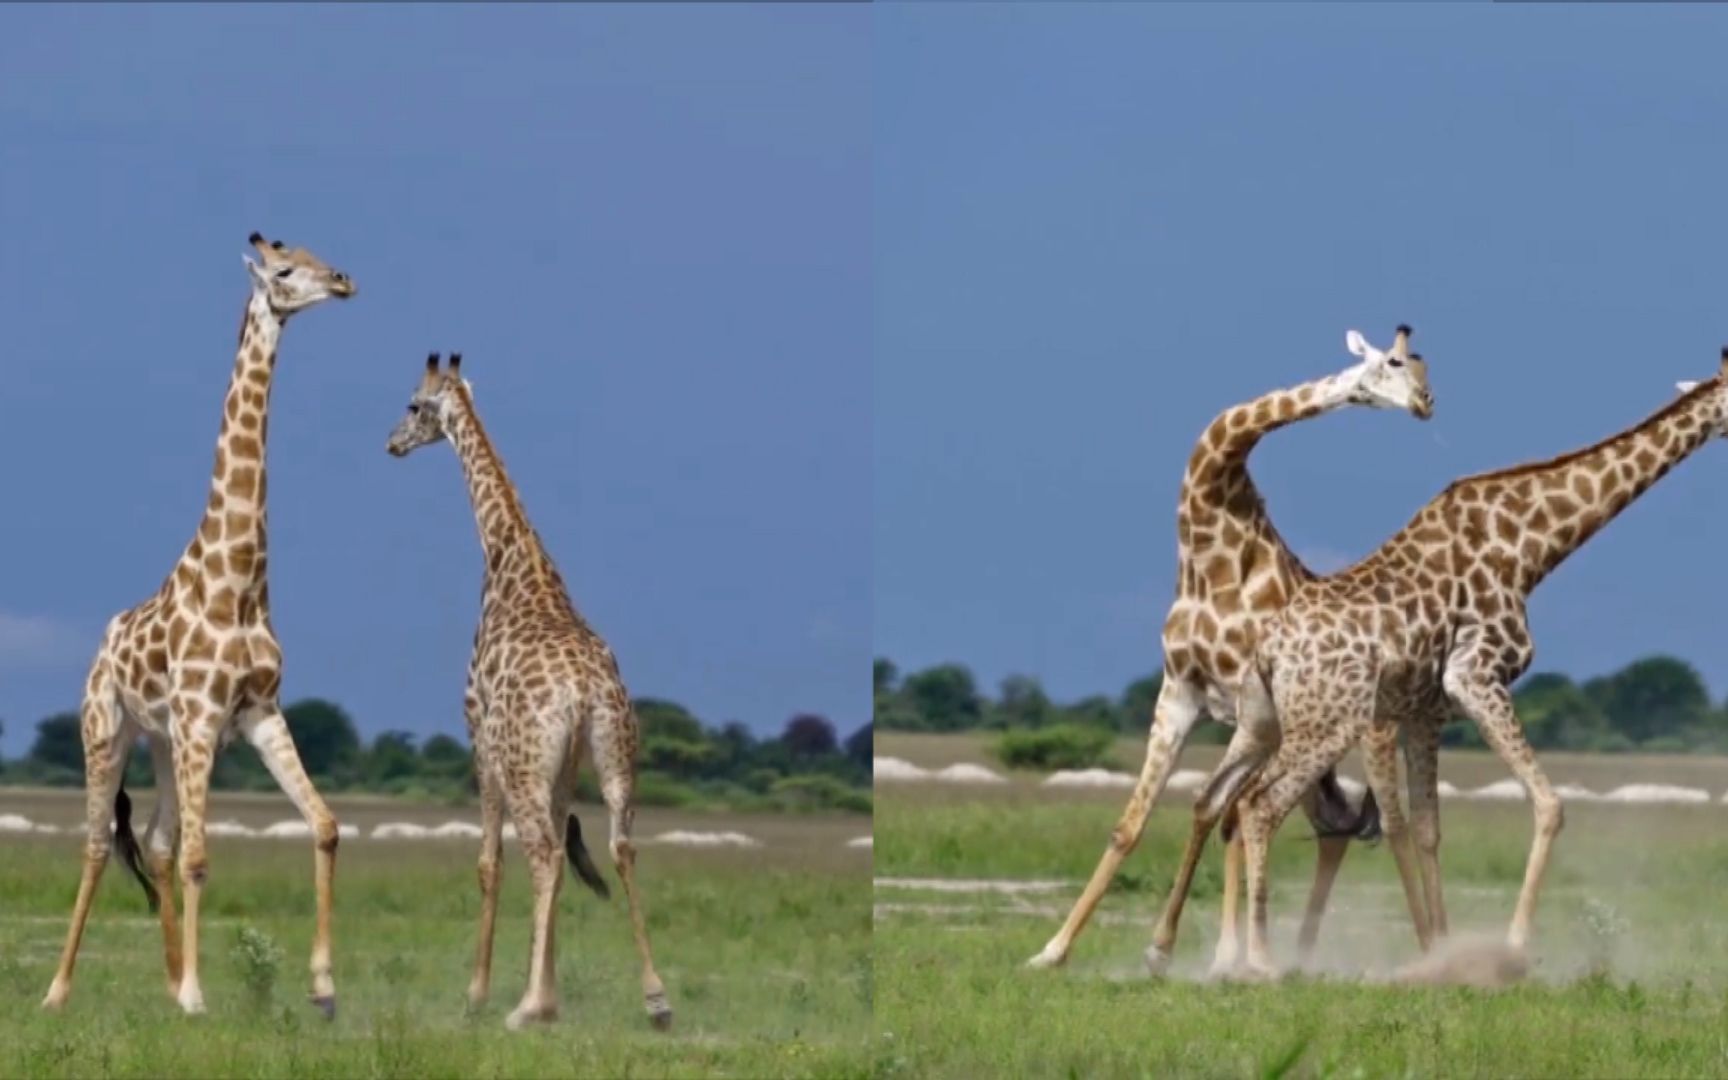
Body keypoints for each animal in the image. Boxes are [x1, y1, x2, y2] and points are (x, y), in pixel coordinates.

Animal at [45, 231, 354, 1016]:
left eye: (315, 254)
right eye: (284, 269)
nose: (343, 281)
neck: (239, 581)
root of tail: (101, 646)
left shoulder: (255, 715)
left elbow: (325, 825)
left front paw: (322, 987)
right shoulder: (201, 718)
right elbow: (199, 857)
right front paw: (196, 997)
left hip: (163, 740)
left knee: (152, 841)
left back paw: (166, 978)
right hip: (109, 729)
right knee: (99, 843)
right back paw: (59, 991)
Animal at [388, 352, 670, 1029]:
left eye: (413, 404)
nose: (392, 444)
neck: (512, 563)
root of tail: (582, 690)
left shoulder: (477, 733)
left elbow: (490, 862)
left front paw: (482, 994)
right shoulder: (563, 764)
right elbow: (567, 863)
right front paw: (551, 991)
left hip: (520, 763)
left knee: (541, 852)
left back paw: (523, 1008)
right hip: (615, 753)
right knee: (620, 847)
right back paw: (655, 999)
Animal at [1022, 321, 1430, 967]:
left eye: (1418, 366)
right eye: (1393, 363)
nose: (1424, 403)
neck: (1209, 550)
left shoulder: (1248, 704)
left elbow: (1223, 816)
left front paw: (1208, 953)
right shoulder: (1178, 692)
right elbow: (1136, 824)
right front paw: (1055, 951)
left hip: (1367, 735)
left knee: (1386, 827)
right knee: (1330, 822)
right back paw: (1301, 952)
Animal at [1223, 347, 1728, 974]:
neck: (1530, 547)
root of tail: (1268, 652)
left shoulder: (1425, 710)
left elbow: (1428, 829)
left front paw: (1440, 955)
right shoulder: (1476, 676)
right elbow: (1549, 805)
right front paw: (1511, 950)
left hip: (1274, 722)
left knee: (1236, 802)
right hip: (1329, 723)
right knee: (1260, 806)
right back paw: (1260, 960)